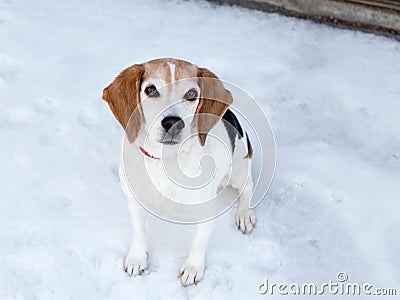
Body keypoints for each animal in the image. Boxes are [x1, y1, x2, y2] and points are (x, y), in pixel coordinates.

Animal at [103, 58, 256, 286]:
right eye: (150, 89)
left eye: (191, 94)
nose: (172, 123)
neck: (165, 160)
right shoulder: (134, 201)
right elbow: (139, 231)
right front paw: (137, 258)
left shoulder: (207, 212)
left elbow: (199, 242)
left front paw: (193, 268)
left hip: (238, 171)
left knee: (248, 189)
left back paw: (245, 215)